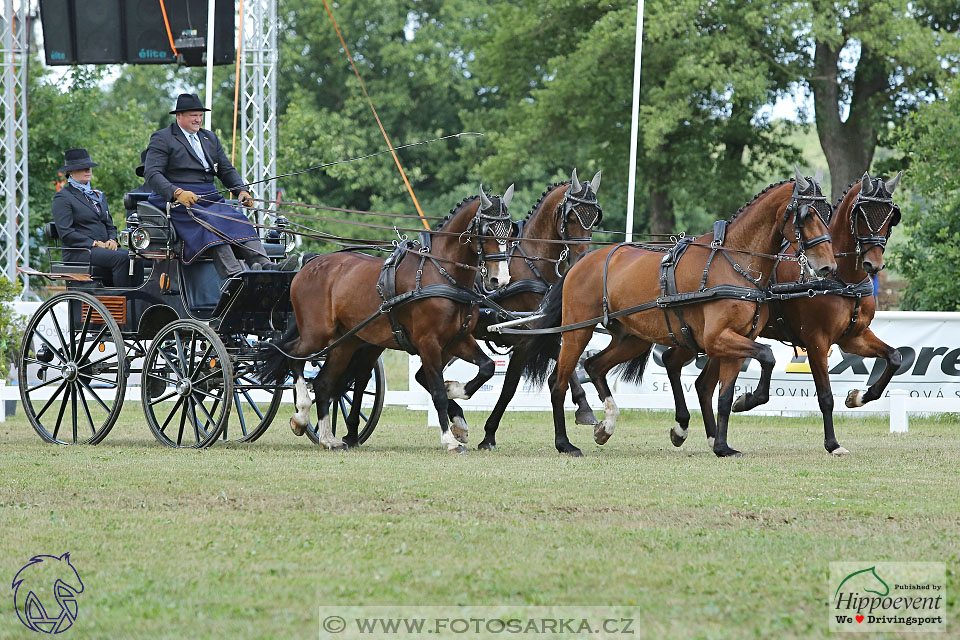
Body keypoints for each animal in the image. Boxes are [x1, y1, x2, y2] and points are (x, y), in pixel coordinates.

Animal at [258, 186, 516, 456]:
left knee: (323, 384)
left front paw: (455, 390)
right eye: (486, 231)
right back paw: (301, 416)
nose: (499, 280)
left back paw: (329, 438)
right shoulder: (428, 343)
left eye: (510, 232)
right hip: (316, 335)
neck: (442, 275)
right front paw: (450, 439)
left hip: (345, 342)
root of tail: (309, 265)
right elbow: (437, 392)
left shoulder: (458, 338)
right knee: (292, 356)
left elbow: (486, 367)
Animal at [464, 170, 600, 450]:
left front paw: (583, 407)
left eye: (594, 218)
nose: (581, 259)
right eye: (571, 217)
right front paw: (488, 435)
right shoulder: (525, 337)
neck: (530, 264)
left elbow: (565, 365)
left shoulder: (541, 333)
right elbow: (509, 387)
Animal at [520, 170, 836, 458]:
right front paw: (747, 401)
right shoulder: (718, 338)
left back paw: (606, 426)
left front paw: (723, 444)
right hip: (578, 330)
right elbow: (767, 356)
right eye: (806, 215)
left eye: (827, 212)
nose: (828, 267)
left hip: (633, 339)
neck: (735, 262)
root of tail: (581, 261)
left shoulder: (737, 339)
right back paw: (565, 443)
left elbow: (724, 396)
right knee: (558, 383)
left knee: (595, 365)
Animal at [664, 170, 904, 456]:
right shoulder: (816, 340)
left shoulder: (853, 337)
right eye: (862, 214)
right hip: (697, 335)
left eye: (891, 217)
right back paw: (683, 427)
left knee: (701, 383)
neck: (842, 279)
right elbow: (825, 396)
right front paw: (833, 444)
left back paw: (710, 436)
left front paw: (857, 397)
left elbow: (894, 357)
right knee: (672, 361)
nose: (873, 264)